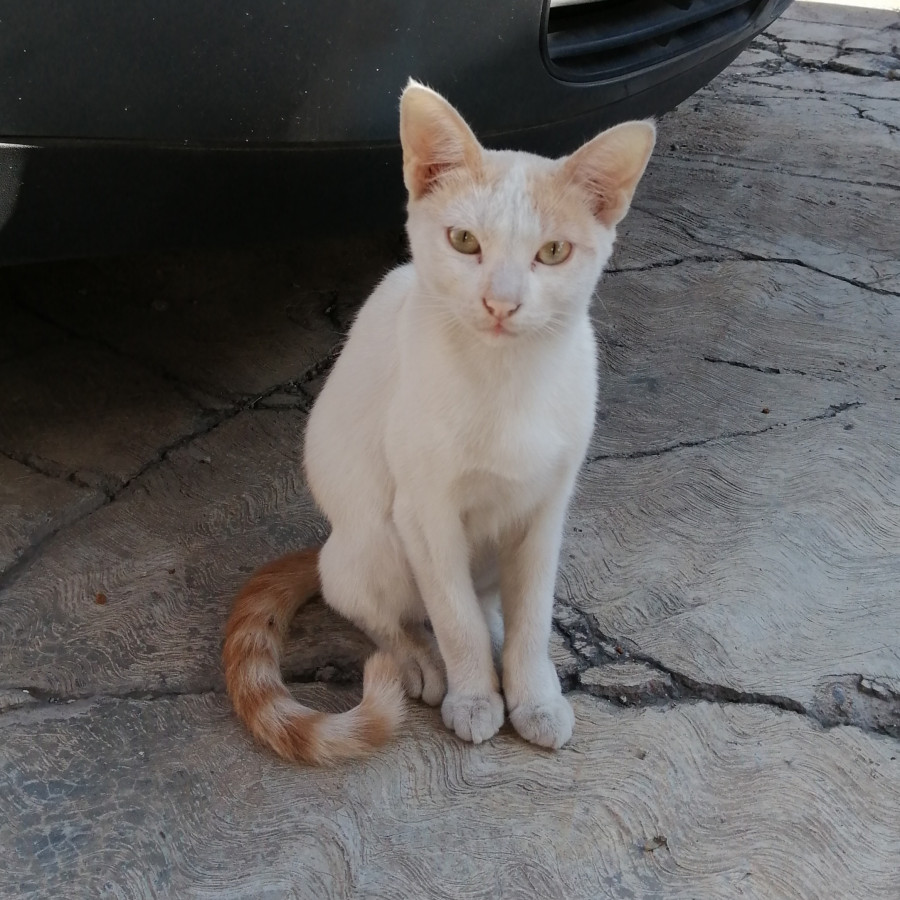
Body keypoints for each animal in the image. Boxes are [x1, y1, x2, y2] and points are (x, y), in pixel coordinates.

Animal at [221, 79, 652, 768]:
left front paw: (533, 694)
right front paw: (474, 693)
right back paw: (418, 661)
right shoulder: (425, 511)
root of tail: (329, 542)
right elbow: (453, 617)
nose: (501, 303)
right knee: (375, 607)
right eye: (465, 242)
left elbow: (533, 614)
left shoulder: (548, 507)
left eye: (553, 252)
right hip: (375, 542)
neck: (506, 380)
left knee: (490, 601)